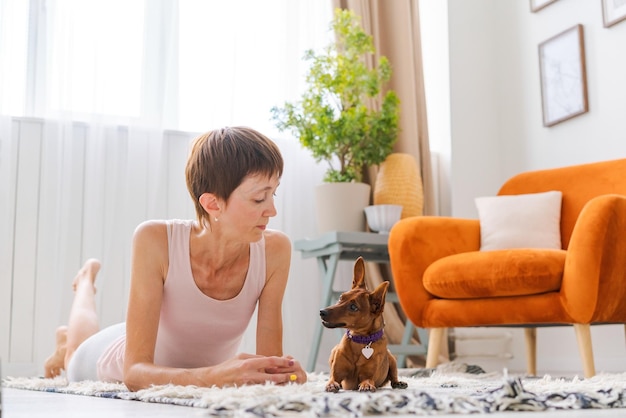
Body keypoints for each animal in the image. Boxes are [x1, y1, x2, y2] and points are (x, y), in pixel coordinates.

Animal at [320, 256, 408, 394]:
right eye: (340, 297)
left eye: (353, 307)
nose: (322, 312)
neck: (360, 339)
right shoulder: (336, 374)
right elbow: (332, 379)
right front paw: (331, 385)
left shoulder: (368, 375)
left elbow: (367, 380)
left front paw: (366, 386)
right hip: (333, 350)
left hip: (391, 358)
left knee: (393, 376)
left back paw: (398, 383)